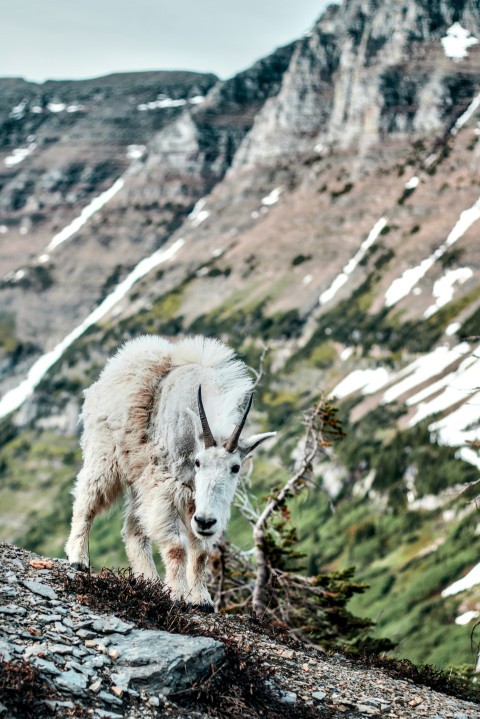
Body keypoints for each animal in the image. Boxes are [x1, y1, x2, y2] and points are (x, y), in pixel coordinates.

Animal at [64, 338, 274, 612]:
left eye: (236, 467)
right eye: (198, 462)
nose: (205, 522)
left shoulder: (195, 500)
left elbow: (201, 552)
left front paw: (202, 600)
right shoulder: (165, 488)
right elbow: (177, 547)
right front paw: (180, 595)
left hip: (140, 479)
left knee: (133, 530)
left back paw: (150, 582)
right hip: (106, 457)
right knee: (86, 502)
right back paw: (78, 558)